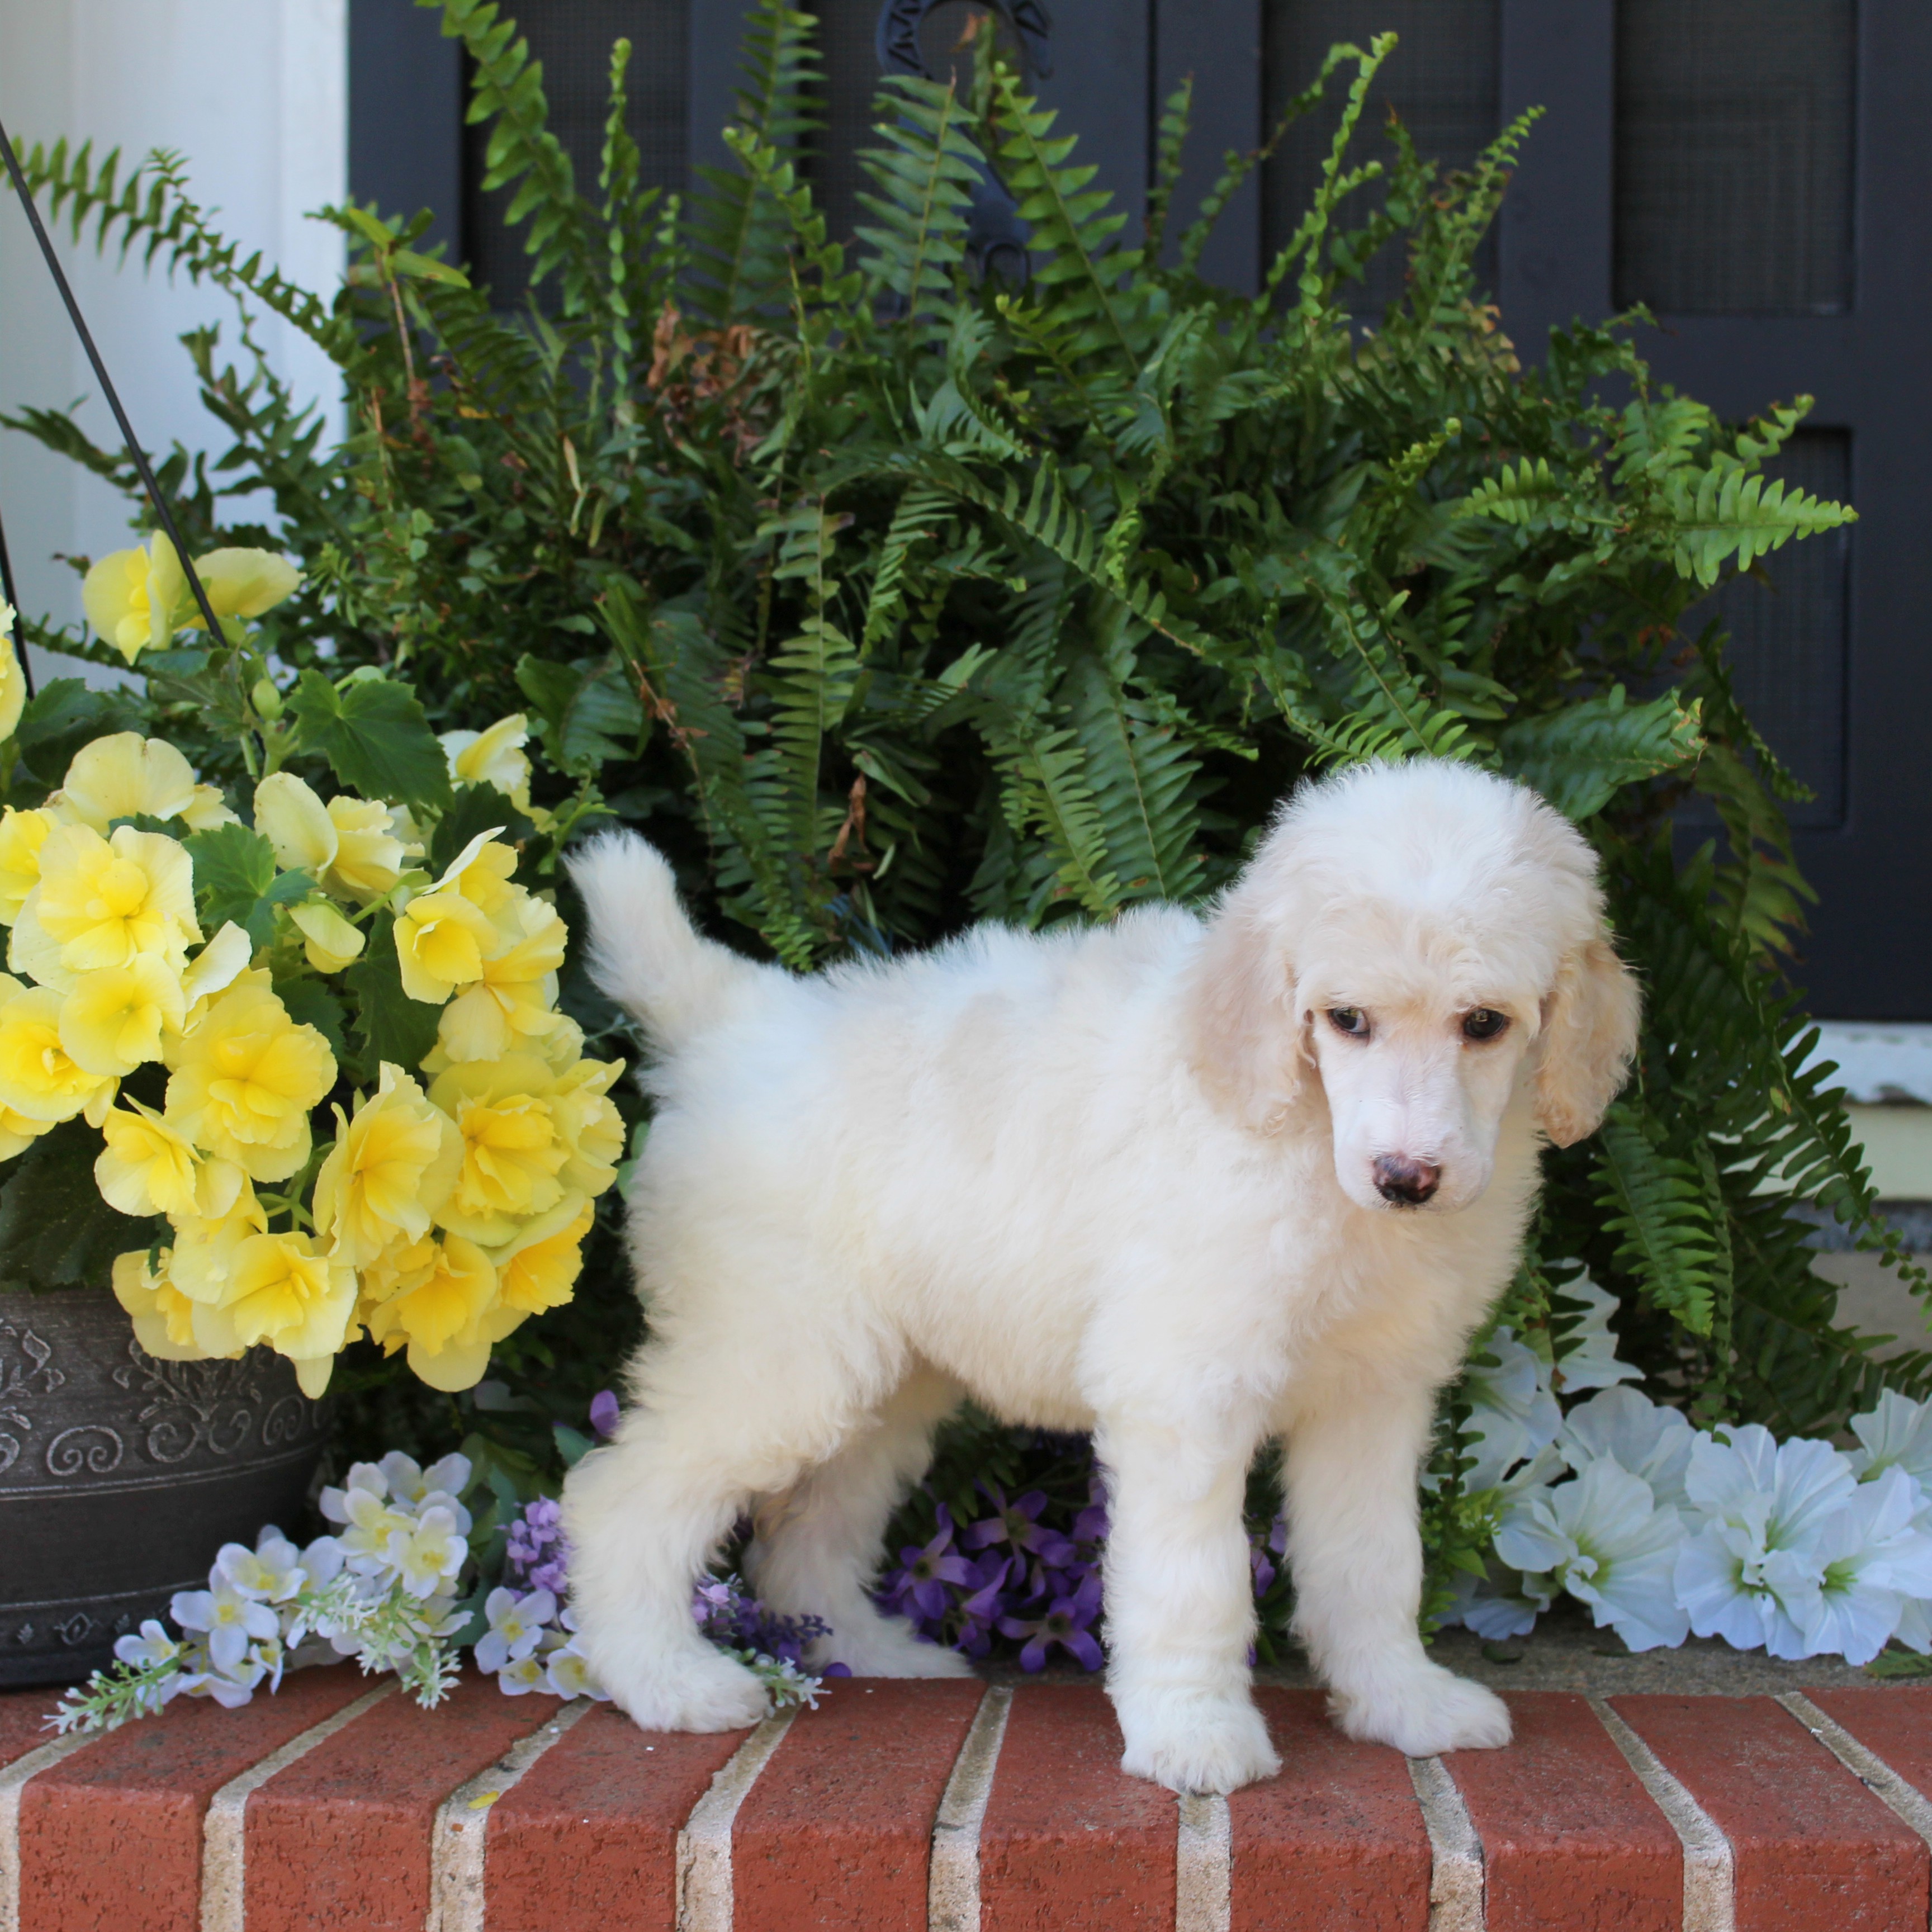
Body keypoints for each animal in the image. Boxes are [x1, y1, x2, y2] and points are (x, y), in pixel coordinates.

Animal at [564, 753, 1638, 1793]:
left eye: (1484, 1024)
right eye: (1346, 1019)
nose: (1406, 1178)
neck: (1303, 1131)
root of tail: (732, 1020)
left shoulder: (1374, 1396)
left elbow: (1373, 1565)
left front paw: (1400, 1703)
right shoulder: (1185, 1389)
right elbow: (1193, 1581)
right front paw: (1196, 1736)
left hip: (882, 1383)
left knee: (810, 1533)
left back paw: (875, 1652)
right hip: (777, 1360)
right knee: (619, 1500)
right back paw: (669, 1681)